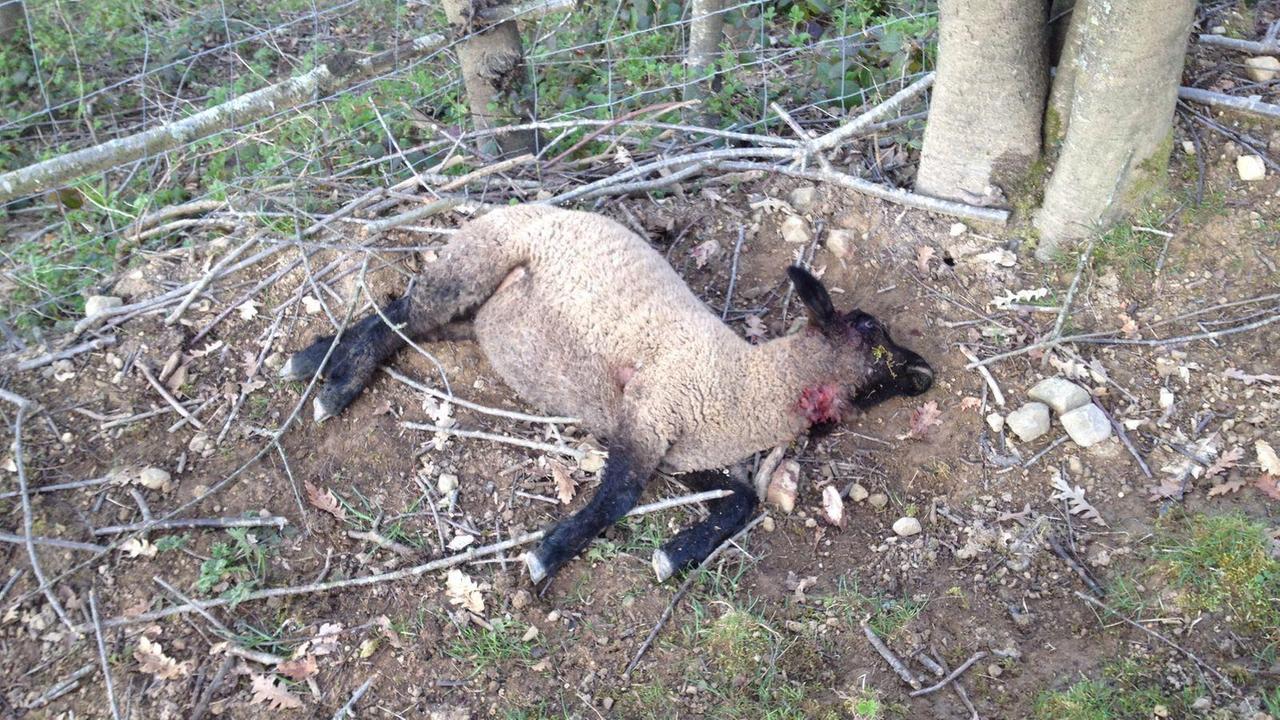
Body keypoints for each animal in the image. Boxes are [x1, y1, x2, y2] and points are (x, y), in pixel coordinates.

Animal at [281, 205, 934, 584]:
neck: (746, 387)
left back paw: (316, 362)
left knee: (401, 320)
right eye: (871, 331)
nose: (927, 372)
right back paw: (330, 384)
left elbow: (743, 498)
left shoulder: (675, 453)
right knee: (403, 314)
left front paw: (676, 553)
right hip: (477, 260)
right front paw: (550, 554)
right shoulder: (648, 415)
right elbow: (620, 496)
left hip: (475, 316)